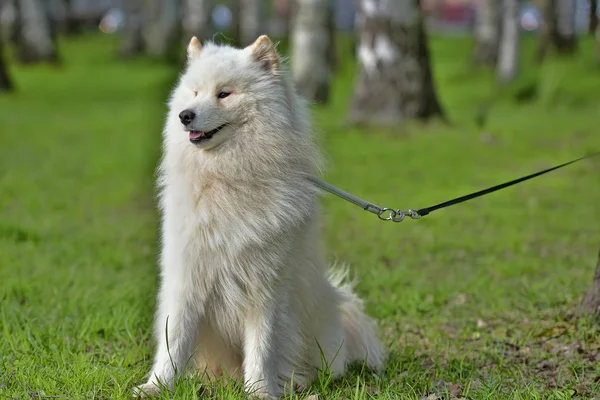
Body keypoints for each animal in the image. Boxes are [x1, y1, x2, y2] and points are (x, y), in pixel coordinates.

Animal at [135, 36, 384, 398]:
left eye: (224, 94)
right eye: (194, 92)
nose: (185, 115)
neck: (227, 177)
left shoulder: (266, 287)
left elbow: (262, 347)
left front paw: (259, 391)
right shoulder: (188, 277)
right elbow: (174, 340)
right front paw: (157, 386)